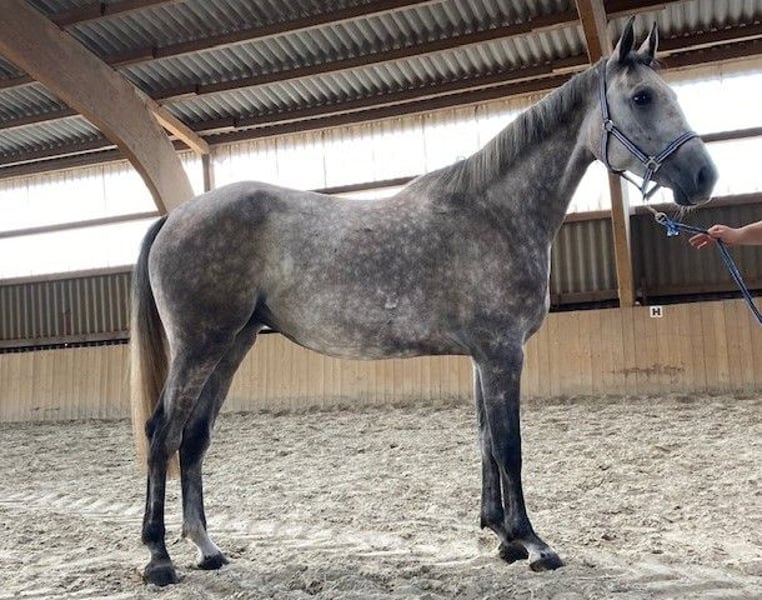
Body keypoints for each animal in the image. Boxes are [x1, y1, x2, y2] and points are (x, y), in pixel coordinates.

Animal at [130, 18, 717, 586]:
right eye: (642, 97)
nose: (703, 176)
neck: (495, 214)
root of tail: (174, 215)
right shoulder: (503, 353)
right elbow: (509, 447)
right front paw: (533, 543)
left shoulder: (484, 356)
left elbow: (485, 441)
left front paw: (503, 537)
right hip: (199, 346)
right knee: (163, 433)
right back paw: (159, 557)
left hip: (233, 344)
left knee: (195, 438)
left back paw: (207, 549)